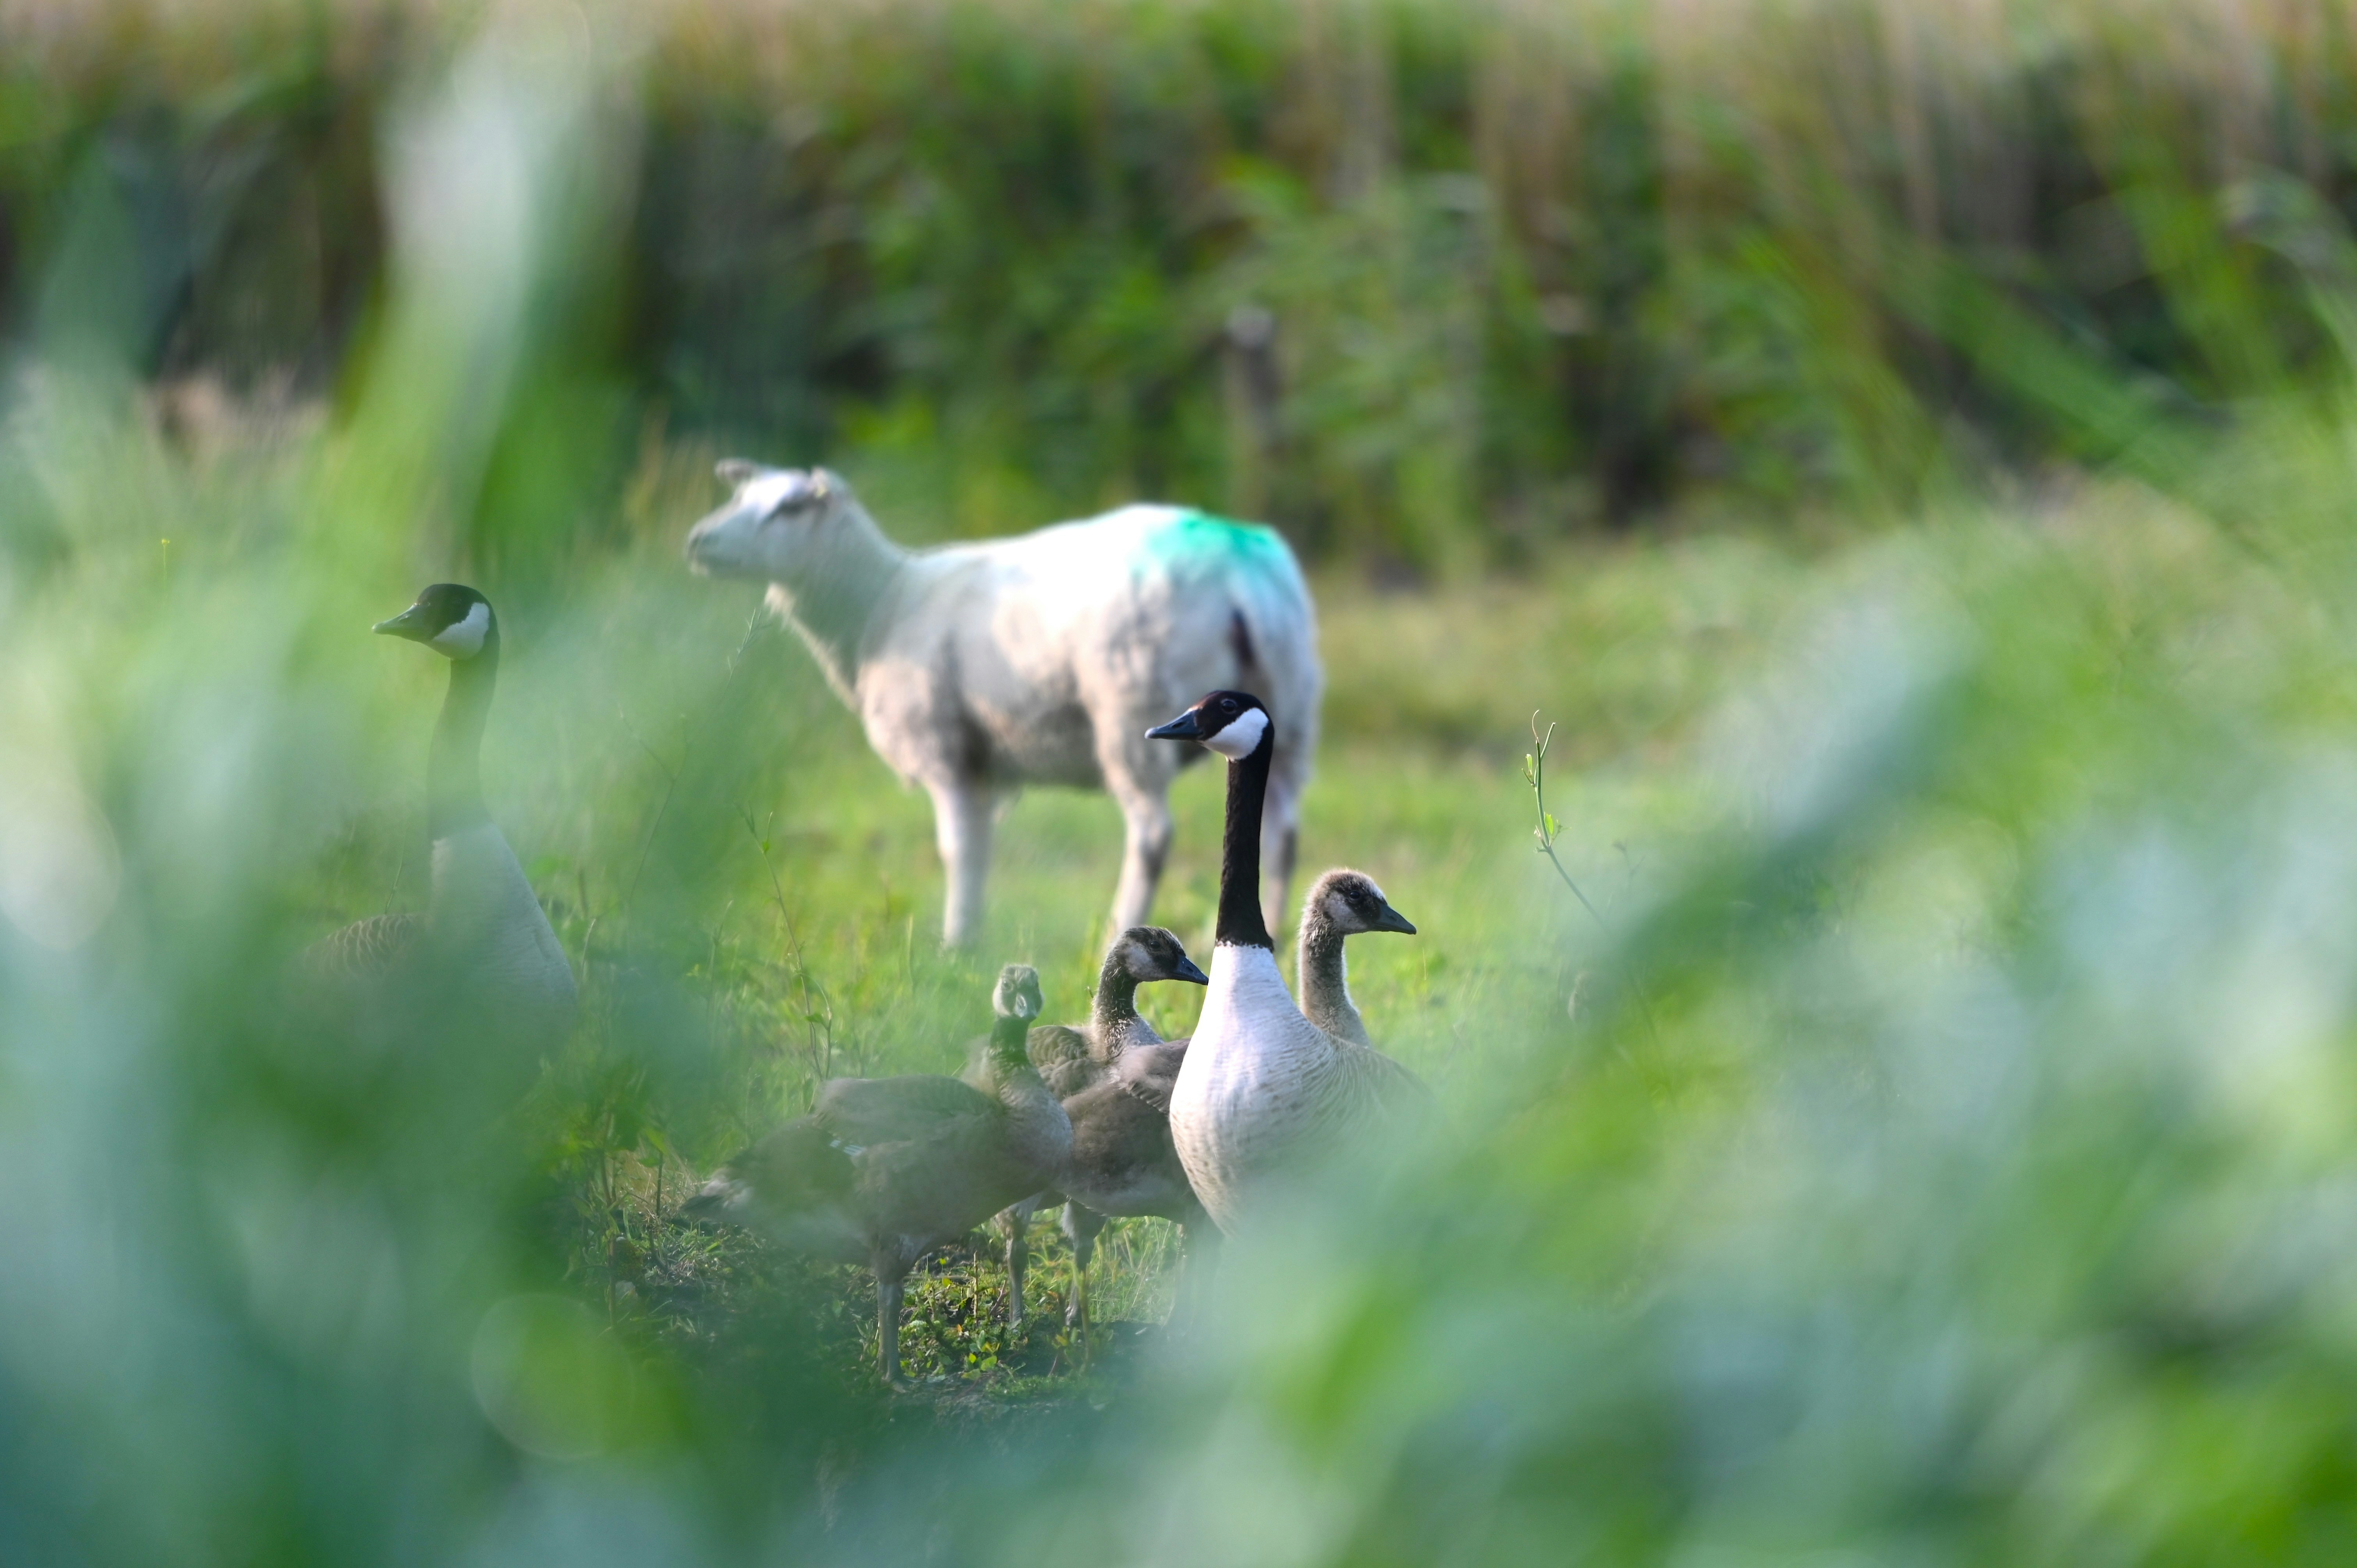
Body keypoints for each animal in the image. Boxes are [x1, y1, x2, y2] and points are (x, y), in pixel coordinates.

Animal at [684, 462, 1323, 947]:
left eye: (789, 509)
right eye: (740, 496)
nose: (698, 542)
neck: (878, 605)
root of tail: (1239, 574)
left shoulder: (944, 746)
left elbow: (957, 850)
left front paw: (954, 947)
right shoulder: (983, 764)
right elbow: (982, 850)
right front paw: (970, 939)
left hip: (1131, 708)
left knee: (1151, 834)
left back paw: (1118, 931)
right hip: (1291, 706)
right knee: (1281, 833)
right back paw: (1277, 932)